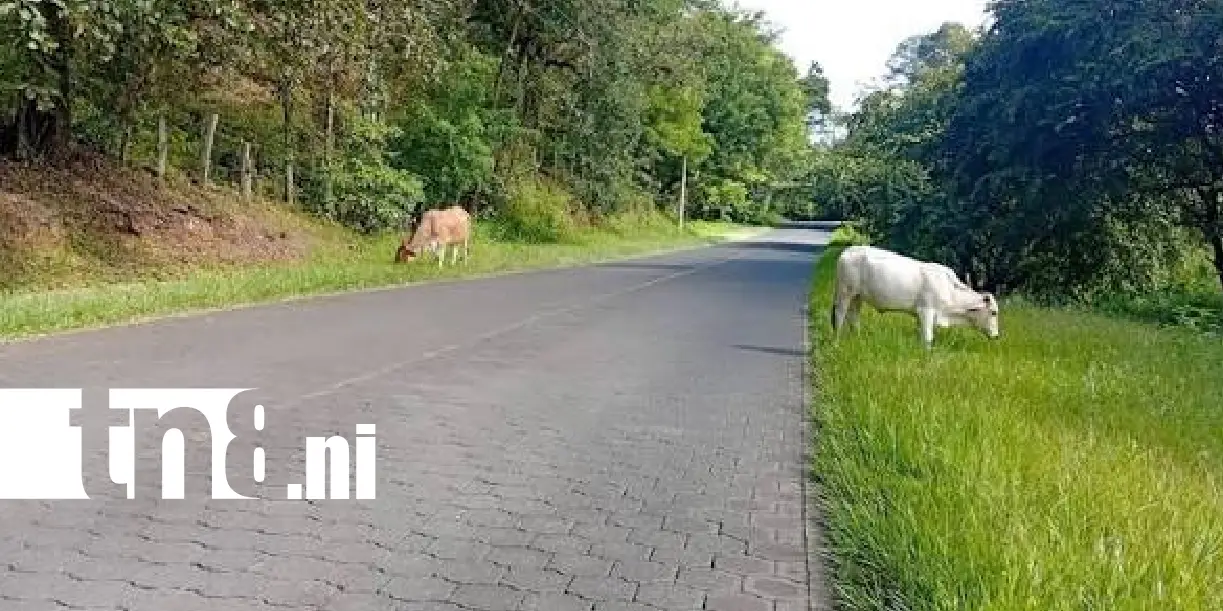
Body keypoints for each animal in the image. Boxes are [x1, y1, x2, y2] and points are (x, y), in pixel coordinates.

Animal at [830, 245, 1000, 350]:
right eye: (993, 312)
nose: (997, 336)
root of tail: (849, 250)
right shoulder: (926, 311)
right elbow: (928, 337)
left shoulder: (921, 315)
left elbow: (922, 336)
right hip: (845, 292)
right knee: (840, 316)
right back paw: (836, 343)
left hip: (857, 296)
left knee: (854, 317)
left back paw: (858, 340)